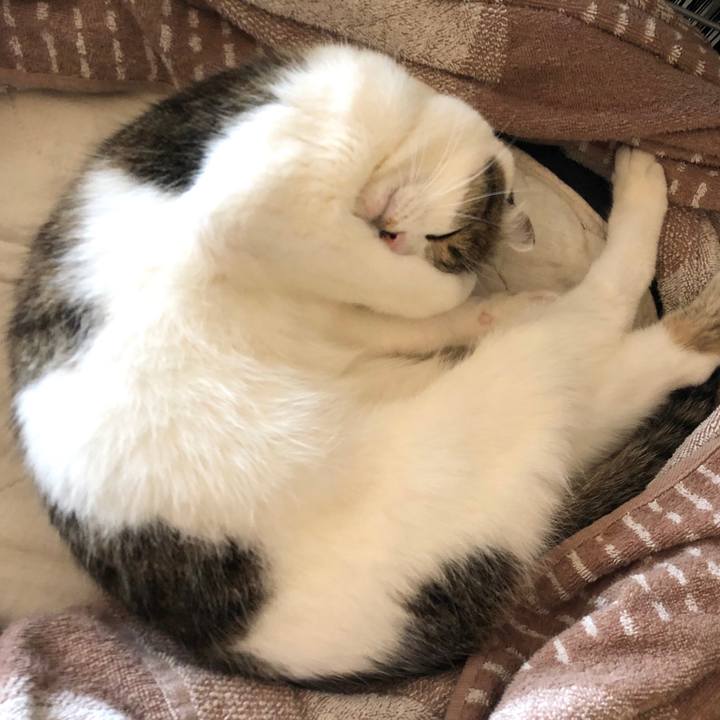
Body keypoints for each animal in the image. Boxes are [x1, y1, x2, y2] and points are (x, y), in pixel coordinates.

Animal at [7, 44, 720, 687]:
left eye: (441, 241)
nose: (396, 238)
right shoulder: (258, 198)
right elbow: (412, 290)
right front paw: (468, 299)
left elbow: (404, 305)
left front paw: (472, 307)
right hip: (521, 385)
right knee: (619, 323)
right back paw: (640, 233)